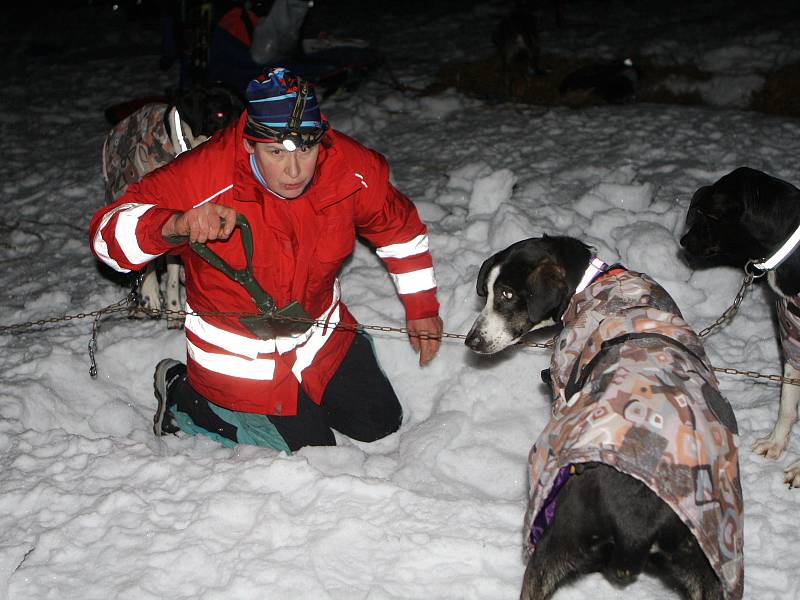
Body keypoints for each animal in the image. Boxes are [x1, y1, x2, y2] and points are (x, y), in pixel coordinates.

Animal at [462, 237, 744, 600]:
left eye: (507, 294)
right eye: (487, 293)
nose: (471, 341)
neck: (594, 281)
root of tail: (636, 523)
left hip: (553, 542)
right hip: (706, 568)